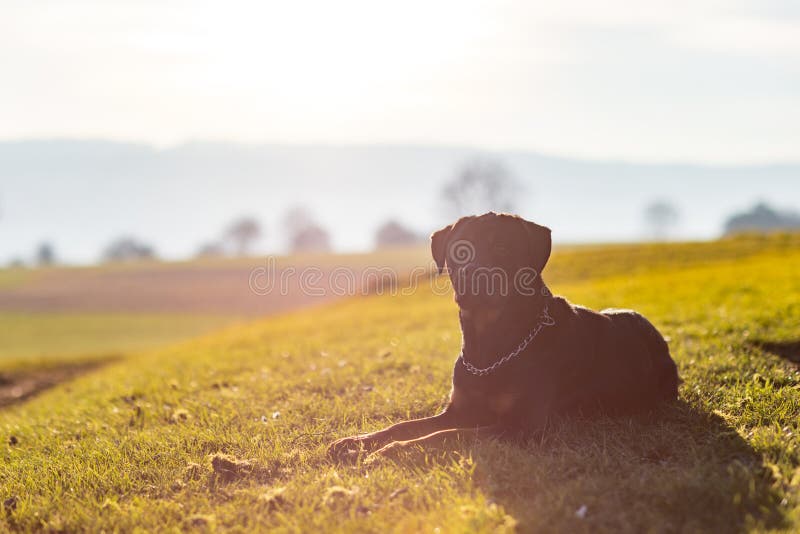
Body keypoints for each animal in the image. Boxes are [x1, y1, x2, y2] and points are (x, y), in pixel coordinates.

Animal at [328, 214, 680, 460]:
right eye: (460, 251)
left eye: (502, 247)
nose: (474, 275)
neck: (490, 345)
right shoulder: (459, 408)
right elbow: (407, 424)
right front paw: (357, 442)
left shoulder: (523, 425)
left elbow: (447, 435)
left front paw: (390, 451)